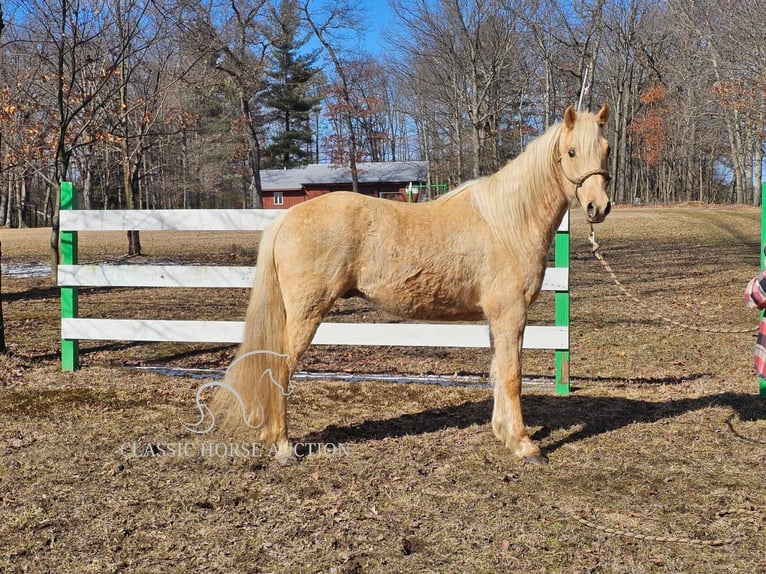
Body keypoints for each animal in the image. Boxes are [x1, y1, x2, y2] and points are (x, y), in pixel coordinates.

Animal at [216, 104, 612, 468]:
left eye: (606, 148)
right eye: (571, 152)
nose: (599, 207)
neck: (506, 222)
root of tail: (286, 217)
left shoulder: (496, 319)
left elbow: (498, 371)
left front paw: (504, 434)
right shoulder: (510, 314)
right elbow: (512, 375)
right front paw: (526, 446)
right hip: (305, 314)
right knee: (279, 369)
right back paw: (284, 447)